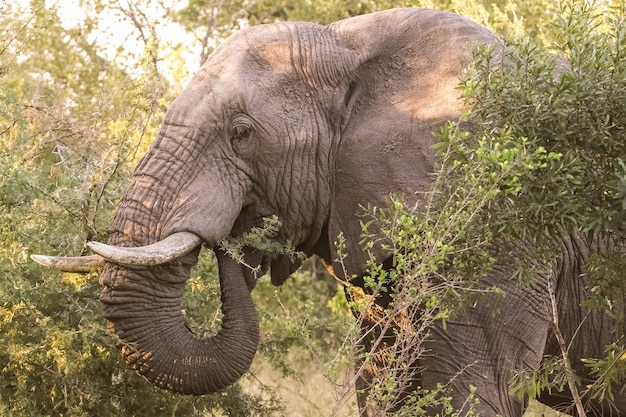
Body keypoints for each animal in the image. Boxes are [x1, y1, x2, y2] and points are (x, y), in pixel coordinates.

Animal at [34, 6, 624, 416]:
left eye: (242, 134)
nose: (233, 244)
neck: (348, 44)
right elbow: (383, 384)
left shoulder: (497, 225)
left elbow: (477, 393)